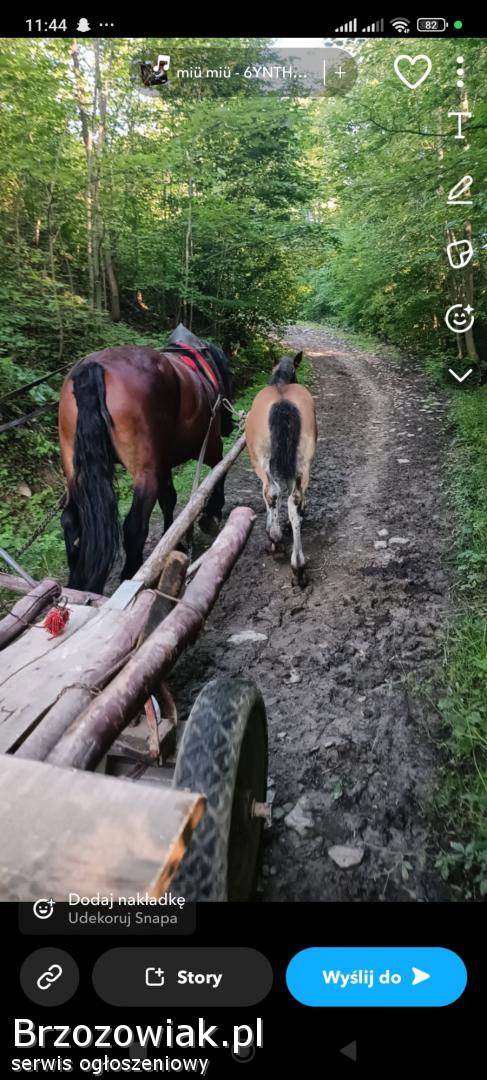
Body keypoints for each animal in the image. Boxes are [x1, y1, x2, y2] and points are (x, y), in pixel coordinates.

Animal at [58, 330, 233, 594]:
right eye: (230, 374)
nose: (230, 425)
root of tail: (93, 368)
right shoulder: (210, 444)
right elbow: (218, 470)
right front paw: (211, 514)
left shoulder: (164, 463)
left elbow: (169, 499)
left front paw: (174, 542)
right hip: (146, 472)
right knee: (134, 526)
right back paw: (132, 575)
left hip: (74, 467)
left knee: (71, 522)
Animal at [245, 351, 317, 585]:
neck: (281, 384)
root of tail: (282, 401)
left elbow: (267, 496)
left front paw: (270, 528)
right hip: (304, 462)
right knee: (294, 500)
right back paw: (298, 566)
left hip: (262, 462)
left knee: (272, 493)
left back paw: (275, 540)